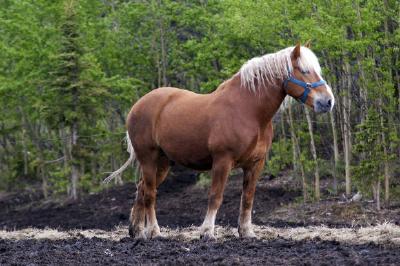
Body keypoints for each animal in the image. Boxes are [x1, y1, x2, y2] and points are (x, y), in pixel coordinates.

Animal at [104, 43, 336, 239]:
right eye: (304, 71)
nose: (328, 101)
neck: (248, 111)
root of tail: (138, 106)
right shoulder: (222, 161)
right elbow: (216, 196)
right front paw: (207, 232)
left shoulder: (255, 164)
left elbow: (248, 198)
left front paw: (246, 232)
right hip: (148, 159)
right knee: (150, 194)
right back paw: (154, 232)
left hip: (162, 162)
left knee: (142, 189)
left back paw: (137, 231)